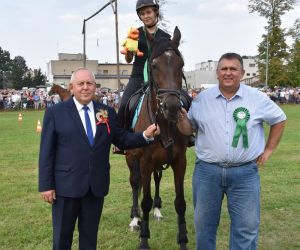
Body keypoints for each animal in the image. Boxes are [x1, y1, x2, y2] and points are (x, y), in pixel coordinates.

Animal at [125, 26, 189, 250]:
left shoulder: (179, 161)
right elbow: (144, 199)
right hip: (132, 159)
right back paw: (135, 220)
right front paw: (144, 240)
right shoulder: (144, 162)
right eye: (153, 65)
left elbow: (180, 203)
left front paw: (183, 240)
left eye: (181, 64)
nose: (172, 107)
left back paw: (157, 210)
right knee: (135, 184)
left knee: (157, 179)